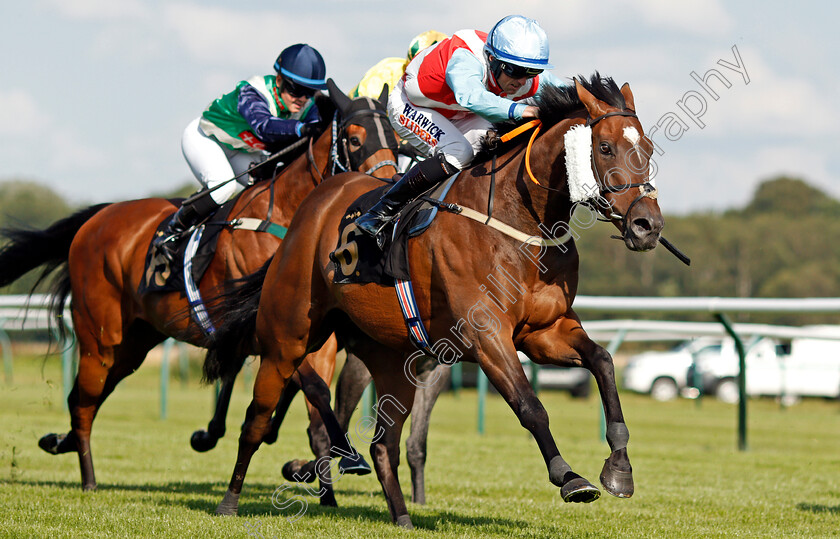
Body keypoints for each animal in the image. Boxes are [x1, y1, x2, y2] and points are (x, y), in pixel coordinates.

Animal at [0, 80, 398, 506]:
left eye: (394, 137)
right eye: (354, 139)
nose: (387, 187)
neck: (285, 221)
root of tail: (96, 218)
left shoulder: (309, 336)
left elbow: (310, 398)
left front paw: (326, 490)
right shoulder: (269, 333)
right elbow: (314, 390)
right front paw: (345, 459)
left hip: (135, 343)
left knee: (90, 394)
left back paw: (61, 442)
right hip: (99, 338)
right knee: (84, 399)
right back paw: (88, 476)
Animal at [208, 73, 664, 528]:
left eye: (647, 148)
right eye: (604, 147)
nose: (648, 225)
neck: (520, 223)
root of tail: (316, 202)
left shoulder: (543, 331)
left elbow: (603, 361)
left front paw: (619, 469)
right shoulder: (487, 335)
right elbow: (531, 406)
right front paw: (569, 477)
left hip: (391, 358)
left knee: (382, 445)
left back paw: (401, 517)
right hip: (287, 339)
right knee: (255, 422)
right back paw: (229, 502)